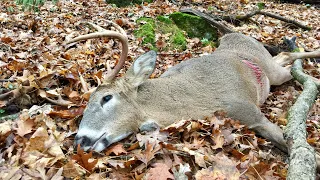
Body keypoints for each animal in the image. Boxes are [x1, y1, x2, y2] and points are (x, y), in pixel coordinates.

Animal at [69, 21, 320, 153]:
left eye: (107, 98)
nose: (81, 140)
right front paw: (148, 126)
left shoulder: (248, 110)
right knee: (284, 56)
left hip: (273, 74)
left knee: (288, 59)